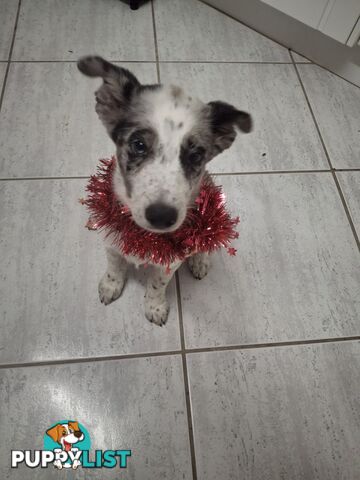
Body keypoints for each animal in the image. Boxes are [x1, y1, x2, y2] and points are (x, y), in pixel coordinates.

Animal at [78, 57, 253, 326]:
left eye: (196, 156)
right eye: (138, 145)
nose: (161, 216)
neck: (143, 236)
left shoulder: (170, 261)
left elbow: (157, 285)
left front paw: (155, 306)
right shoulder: (111, 240)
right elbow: (114, 266)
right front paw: (110, 286)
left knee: (206, 241)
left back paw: (200, 261)